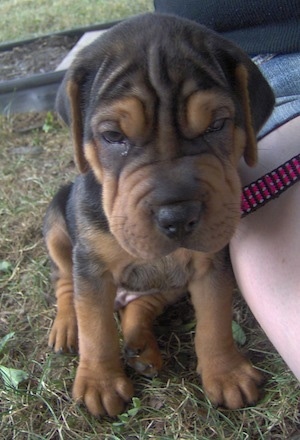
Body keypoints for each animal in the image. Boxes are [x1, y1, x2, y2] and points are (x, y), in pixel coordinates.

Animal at [43, 13, 276, 418]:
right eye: (113, 136)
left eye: (217, 125)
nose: (179, 216)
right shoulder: (92, 268)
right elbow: (96, 327)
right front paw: (100, 382)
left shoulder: (210, 265)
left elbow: (215, 320)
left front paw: (226, 373)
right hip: (58, 222)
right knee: (65, 282)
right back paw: (67, 326)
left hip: (168, 287)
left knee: (139, 308)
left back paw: (142, 349)